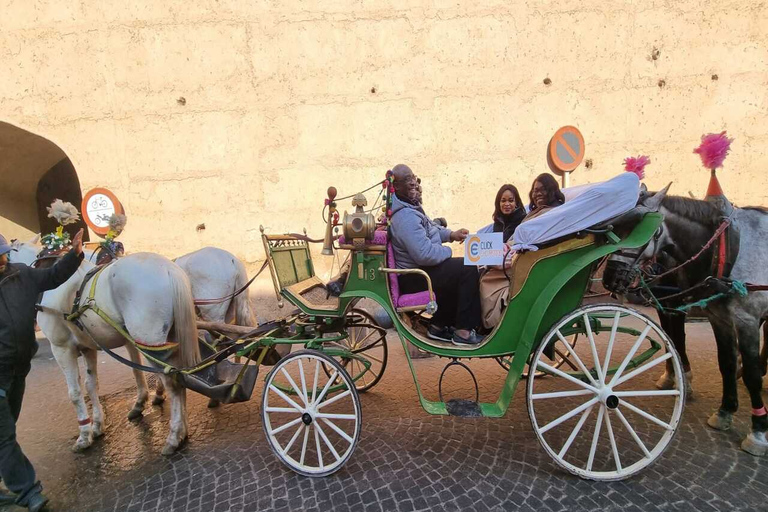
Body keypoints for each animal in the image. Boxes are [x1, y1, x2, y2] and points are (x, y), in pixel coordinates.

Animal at [9, 238, 198, 454]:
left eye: (10, 253)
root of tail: (168, 268)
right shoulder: (88, 347)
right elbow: (91, 385)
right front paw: (97, 425)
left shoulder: (61, 348)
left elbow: (75, 393)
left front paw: (84, 436)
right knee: (180, 378)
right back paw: (183, 430)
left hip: (150, 342)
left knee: (173, 383)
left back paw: (174, 436)